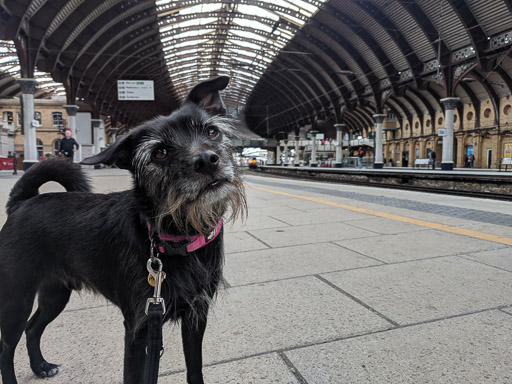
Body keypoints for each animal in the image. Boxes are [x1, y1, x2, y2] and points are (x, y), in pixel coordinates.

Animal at [0, 76, 246, 382]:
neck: (176, 238)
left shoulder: (195, 316)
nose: (207, 160)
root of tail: (21, 203)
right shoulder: (138, 329)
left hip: (55, 292)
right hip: (16, 298)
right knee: (6, 348)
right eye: (160, 152)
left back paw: (40, 366)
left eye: (211, 131)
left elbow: (195, 369)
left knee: (33, 328)